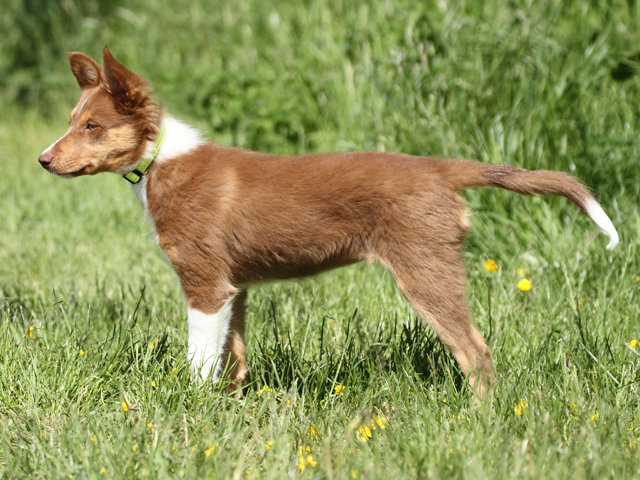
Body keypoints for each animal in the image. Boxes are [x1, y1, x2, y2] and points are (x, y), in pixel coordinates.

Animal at [38, 46, 618, 396]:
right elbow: (235, 356)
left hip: (425, 269)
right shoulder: (233, 288)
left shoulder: (203, 284)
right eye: (72, 121)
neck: (161, 159)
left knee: (475, 351)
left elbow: (199, 359)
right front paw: (229, 408)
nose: (43, 161)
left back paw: (480, 419)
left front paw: (190, 407)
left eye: (93, 126)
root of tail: (438, 166)